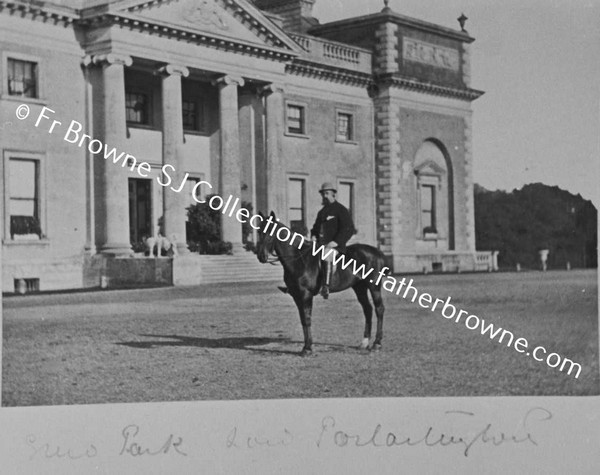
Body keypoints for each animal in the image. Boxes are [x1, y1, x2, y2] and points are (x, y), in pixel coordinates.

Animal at [255, 213, 386, 356]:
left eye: (270, 231)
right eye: (259, 231)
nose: (261, 256)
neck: (298, 259)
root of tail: (377, 252)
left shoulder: (305, 294)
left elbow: (307, 318)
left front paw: (307, 348)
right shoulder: (296, 295)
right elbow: (303, 320)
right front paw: (306, 346)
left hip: (374, 287)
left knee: (379, 309)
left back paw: (377, 343)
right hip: (359, 287)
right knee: (367, 309)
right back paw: (364, 343)